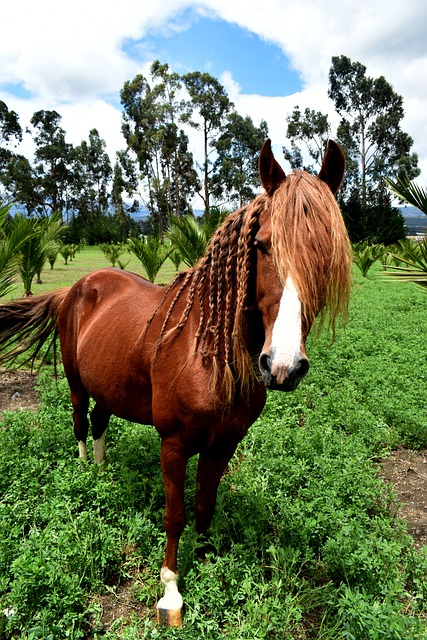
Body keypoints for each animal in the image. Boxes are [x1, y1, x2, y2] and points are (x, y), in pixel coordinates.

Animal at [0, 139, 352, 624]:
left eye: (325, 254)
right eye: (262, 245)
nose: (282, 366)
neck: (210, 356)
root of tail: (76, 288)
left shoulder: (224, 444)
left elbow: (204, 506)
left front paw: (206, 562)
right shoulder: (173, 444)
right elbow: (175, 514)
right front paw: (171, 590)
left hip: (108, 384)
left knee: (100, 421)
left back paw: (104, 472)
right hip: (75, 382)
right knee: (79, 422)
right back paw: (85, 472)